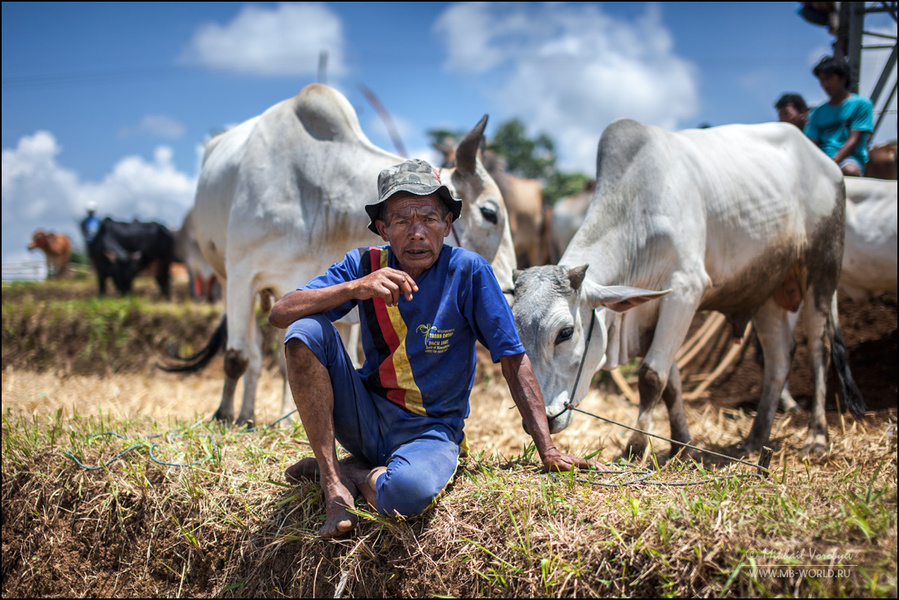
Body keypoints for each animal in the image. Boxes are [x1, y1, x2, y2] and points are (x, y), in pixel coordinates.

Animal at [186, 83, 516, 426]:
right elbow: (237, 357)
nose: (510, 289)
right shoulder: (242, 275)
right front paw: (223, 414)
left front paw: (289, 421)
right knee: (250, 354)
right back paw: (241, 414)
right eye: (490, 213)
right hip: (227, 278)